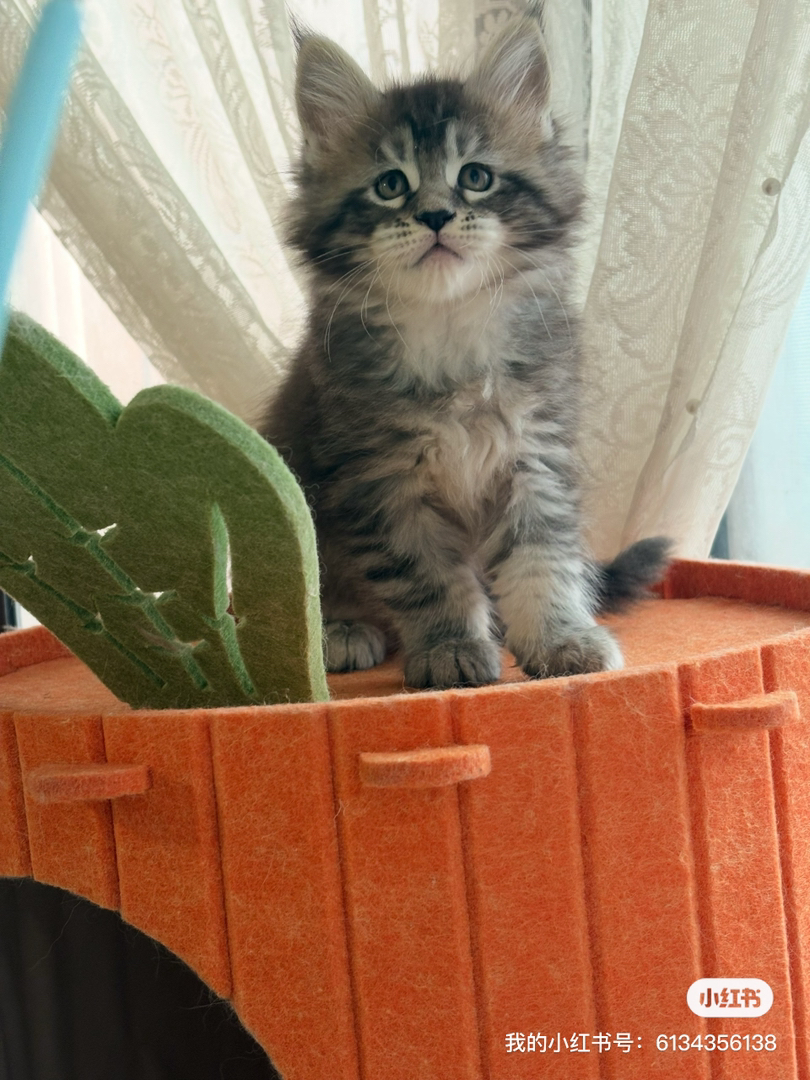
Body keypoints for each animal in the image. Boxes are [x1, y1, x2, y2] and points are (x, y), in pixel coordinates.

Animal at [262, 16, 671, 690]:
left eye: (475, 176)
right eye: (391, 185)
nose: (434, 215)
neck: (450, 324)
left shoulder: (536, 456)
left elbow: (542, 561)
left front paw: (560, 639)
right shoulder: (381, 481)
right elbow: (428, 578)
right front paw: (451, 647)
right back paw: (339, 630)